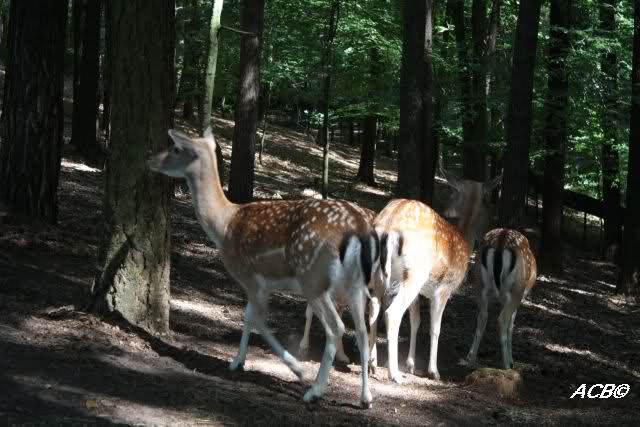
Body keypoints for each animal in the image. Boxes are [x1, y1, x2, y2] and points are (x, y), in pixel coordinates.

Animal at [368, 166, 501, 383]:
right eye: (489, 200)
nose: (447, 211)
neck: (465, 240)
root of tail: (388, 226)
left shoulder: (421, 292)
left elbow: (416, 322)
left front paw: (411, 364)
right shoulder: (444, 288)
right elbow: (435, 328)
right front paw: (433, 371)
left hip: (381, 273)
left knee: (373, 308)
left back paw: (371, 363)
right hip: (415, 273)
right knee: (392, 313)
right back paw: (394, 374)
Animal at [465, 228, 537, 370]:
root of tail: (501, 240)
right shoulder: (518, 298)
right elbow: (511, 326)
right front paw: (512, 361)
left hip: (479, 283)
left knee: (482, 316)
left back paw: (471, 359)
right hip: (517, 290)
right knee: (502, 319)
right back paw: (506, 365)